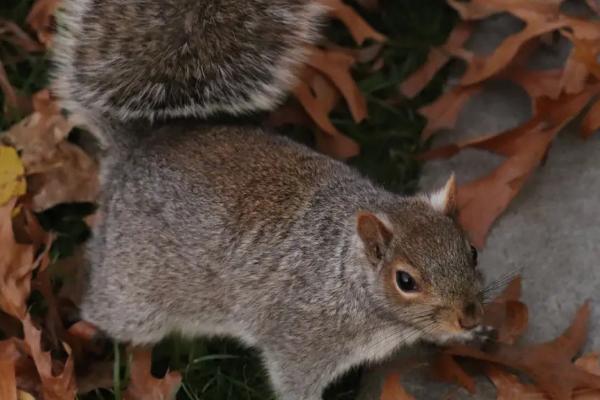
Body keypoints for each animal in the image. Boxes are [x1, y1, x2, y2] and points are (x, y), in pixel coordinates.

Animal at [51, 0, 492, 400]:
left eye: (471, 251)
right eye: (405, 281)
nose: (469, 317)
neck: (347, 277)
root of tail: (134, 151)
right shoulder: (300, 340)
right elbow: (294, 380)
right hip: (133, 294)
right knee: (104, 310)